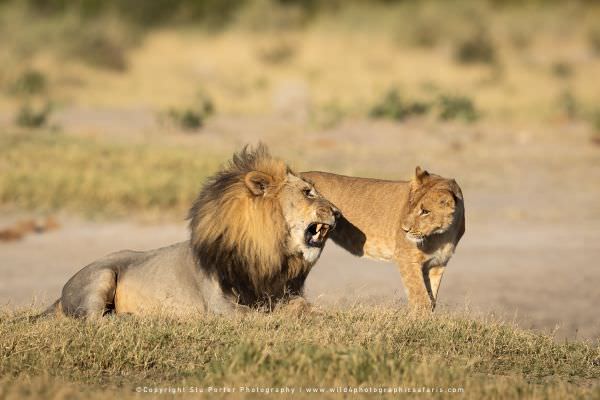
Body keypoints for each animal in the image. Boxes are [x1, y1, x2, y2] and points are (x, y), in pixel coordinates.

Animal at [44, 145, 340, 318]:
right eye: (308, 192)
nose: (337, 212)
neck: (267, 251)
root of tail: (60, 295)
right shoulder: (221, 306)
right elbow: (262, 317)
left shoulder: (282, 293)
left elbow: (305, 308)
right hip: (102, 275)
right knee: (95, 319)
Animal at [300, 167, 464, 310]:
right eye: (410, 205)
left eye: (425, 211)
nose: (404, 229)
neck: (443, 234)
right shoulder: (406, 258)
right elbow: (420, 298)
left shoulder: (437, 265)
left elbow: (432, 299)